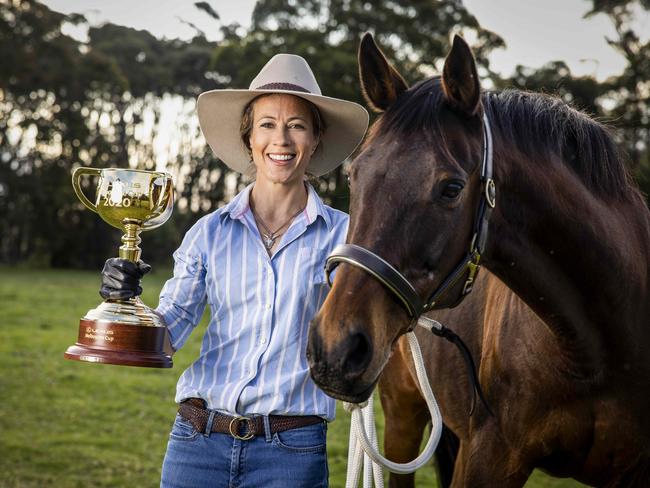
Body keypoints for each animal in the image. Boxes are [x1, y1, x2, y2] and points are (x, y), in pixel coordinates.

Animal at [306, 32, 648, 486]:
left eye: (451, 188)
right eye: (353, 174)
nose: (334, 348)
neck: (598, 348)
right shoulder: (490, 454)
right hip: (402, 416)